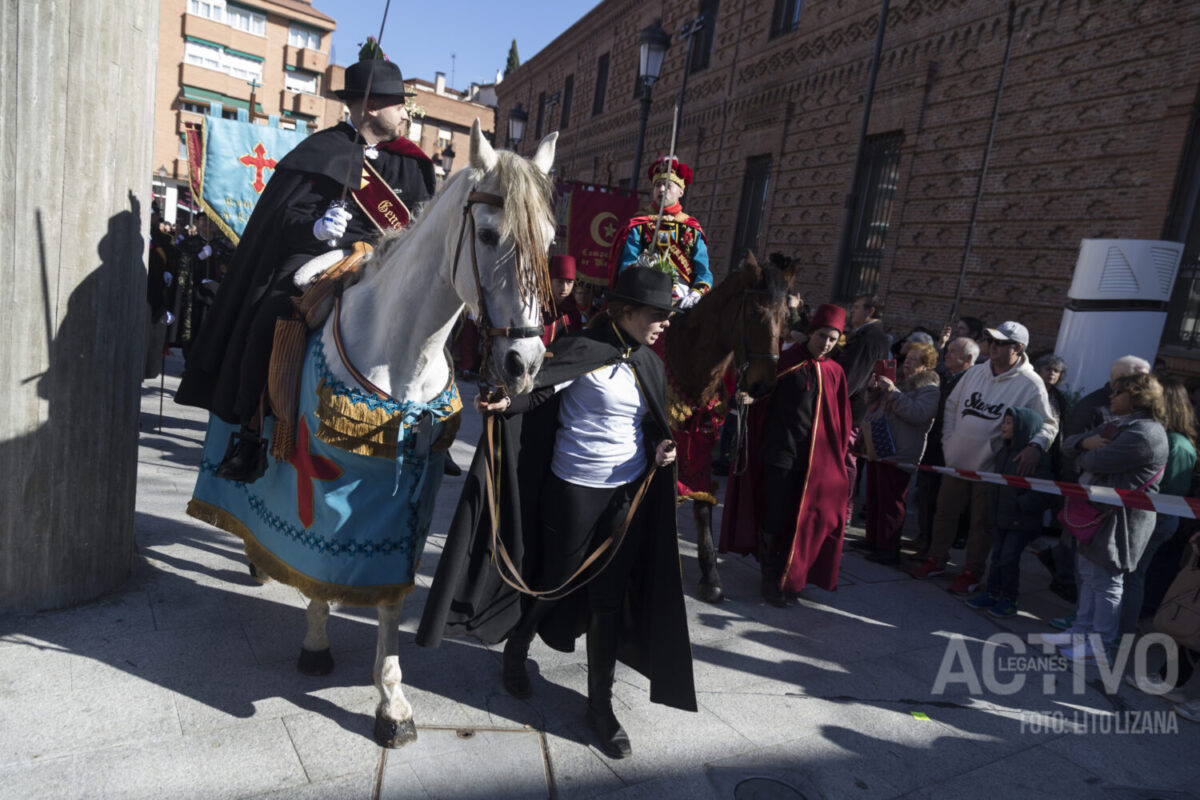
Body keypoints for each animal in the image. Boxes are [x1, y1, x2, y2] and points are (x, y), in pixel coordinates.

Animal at [188, 122, 556, 748]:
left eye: (550, 243)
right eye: (487, 234)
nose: (523, 364)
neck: (402, 354)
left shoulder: (403, 502)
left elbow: (386, 603)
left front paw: (393, 703)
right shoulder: (323, 485)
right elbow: (318, 569)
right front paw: (316, 642)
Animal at [667, 253, 796, 604]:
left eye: (786, 317)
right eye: (754, 312)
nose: (763, 386)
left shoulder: (700, 440)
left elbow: (701, 504)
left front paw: (711, 575)